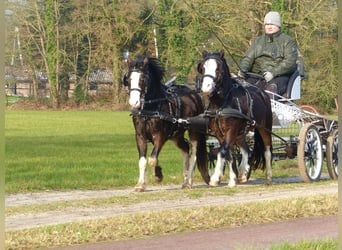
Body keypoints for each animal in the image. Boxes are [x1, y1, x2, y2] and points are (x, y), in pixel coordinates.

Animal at [125, 55, 210, 191]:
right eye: (128, 79)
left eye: (143, 78)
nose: (134, 103)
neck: (150, 109)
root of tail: (194, 95)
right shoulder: (140, 136)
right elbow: (143, 161)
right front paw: (140, 185)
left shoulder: (160, 136)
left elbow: (152, 159)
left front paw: (158, 175)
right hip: (176, 135)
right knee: (185, 149)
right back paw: (185, 177)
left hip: (194, 131)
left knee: (193, 154)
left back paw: (188, 182)